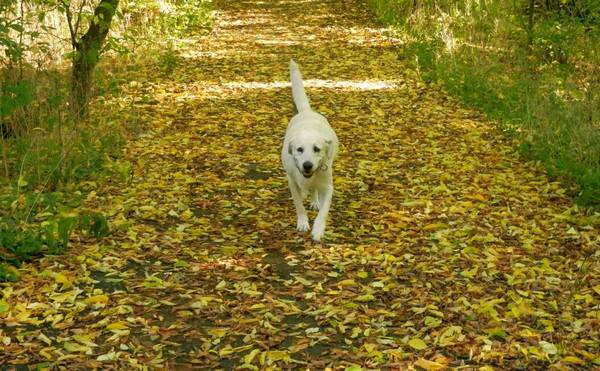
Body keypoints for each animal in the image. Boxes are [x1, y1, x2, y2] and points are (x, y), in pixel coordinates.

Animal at [282, 59, 338, 243]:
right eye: (299, 149)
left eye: (317, 149)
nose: (307, 165)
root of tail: (306, 111)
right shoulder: (292, 182)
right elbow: (298, 204)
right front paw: (302, 222)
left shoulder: (328, 186)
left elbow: (324, 211)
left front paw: (318, 230)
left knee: (315, 190)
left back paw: (314, 200)